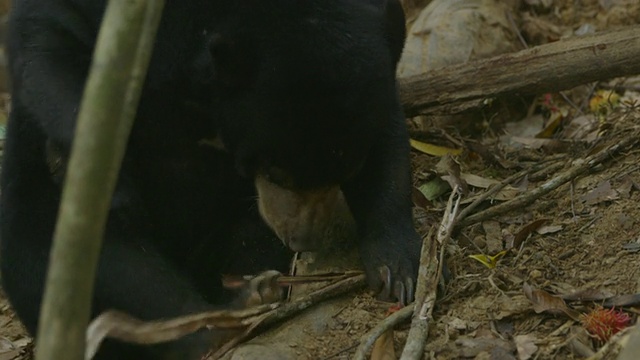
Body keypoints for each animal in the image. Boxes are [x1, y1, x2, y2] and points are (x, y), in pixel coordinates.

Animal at [0, 0, 422, 358]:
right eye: (275, 172)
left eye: (344, 172)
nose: (302, 238)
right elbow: (45, 36)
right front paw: (104, 176)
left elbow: (387, 141)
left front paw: (396, 270)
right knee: (89, 264)